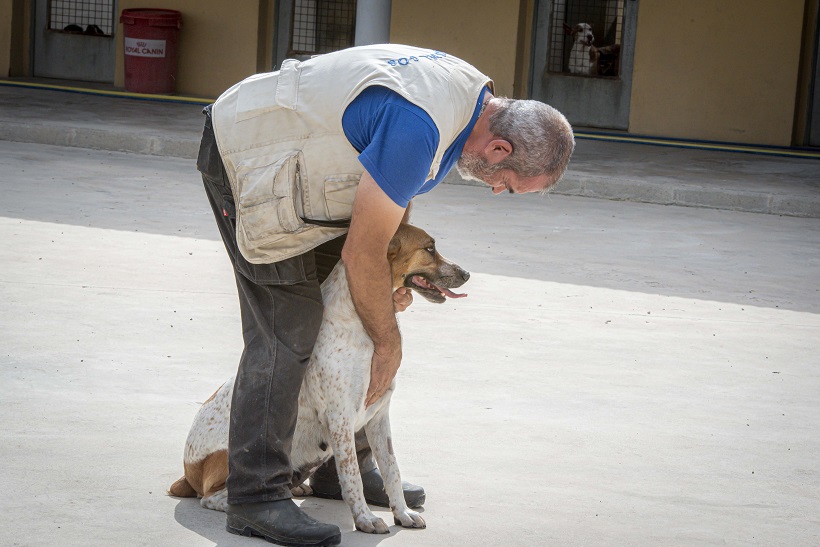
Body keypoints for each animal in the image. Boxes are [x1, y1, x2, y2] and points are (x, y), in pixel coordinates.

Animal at [168, 223, 468, 536]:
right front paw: (365, 518)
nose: (467, 274)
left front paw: (403, 512)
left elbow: (392, 469)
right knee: (212, 497)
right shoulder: (341, 418)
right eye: (429, 249)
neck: (360, 321)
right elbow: (352, 476)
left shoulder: (378, 416)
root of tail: (187, 470)